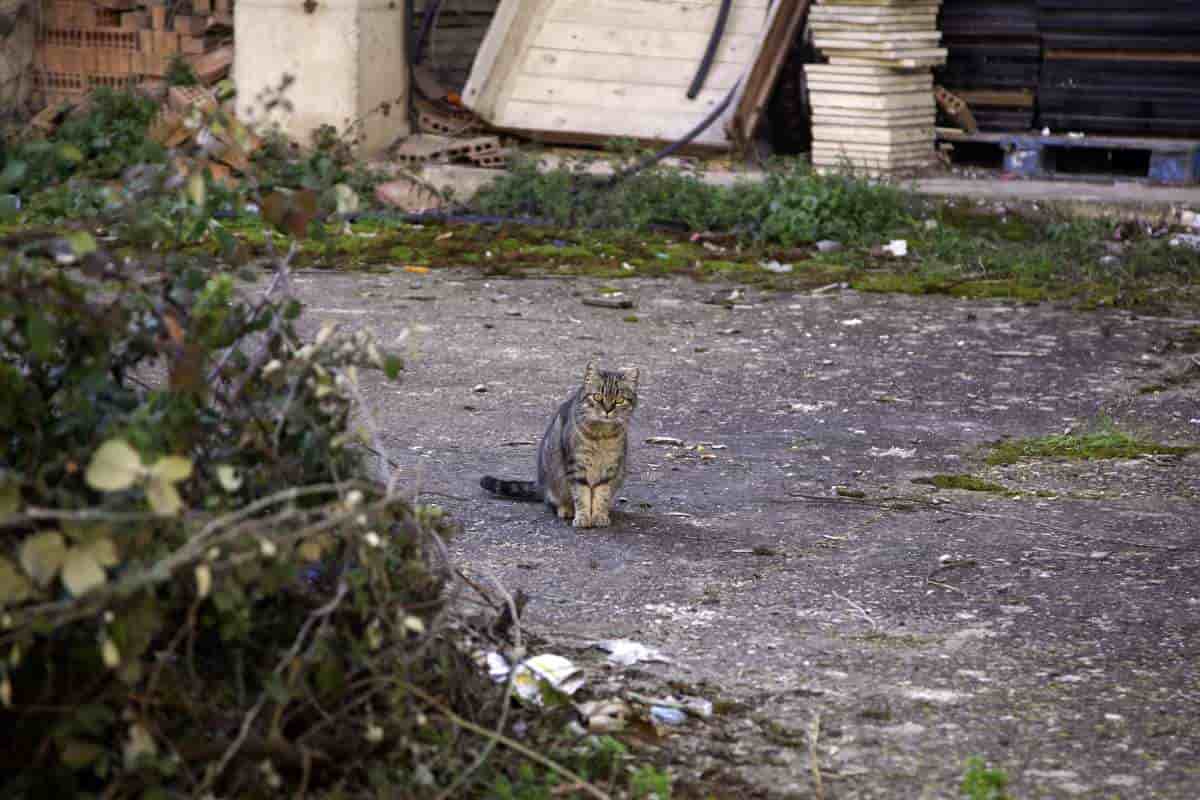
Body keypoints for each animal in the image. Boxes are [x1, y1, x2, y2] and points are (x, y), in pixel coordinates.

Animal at [482, 364, 643, 527]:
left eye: (619, 400)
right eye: (597, 396)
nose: (608, 410)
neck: (601, 435)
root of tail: (540, 484)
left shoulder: (609, 469)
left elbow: (601, 495)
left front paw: (599, 515)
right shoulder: (576, 466)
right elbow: (581, 495)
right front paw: (583, 517)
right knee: (552, 501)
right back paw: (565, 509)